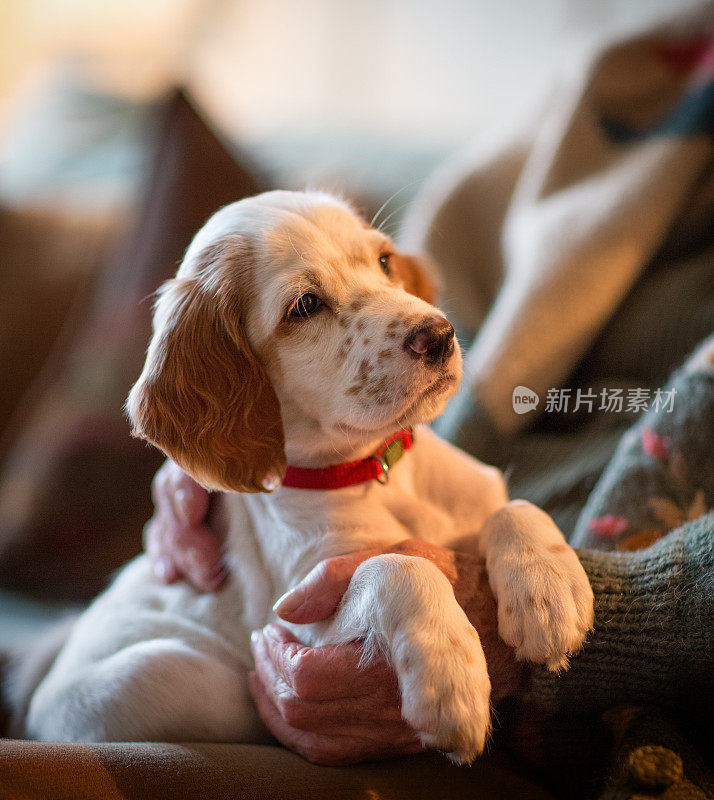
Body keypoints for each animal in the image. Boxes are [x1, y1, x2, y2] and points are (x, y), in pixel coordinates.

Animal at [22, 189, 592, 764]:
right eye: (305, 306)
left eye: (385, 262)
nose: (438, 335)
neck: (376, 473)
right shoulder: (300, 617)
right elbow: (393, 565)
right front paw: (449, 679)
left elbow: (514, 506)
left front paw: (548, 595)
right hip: (173, 674)